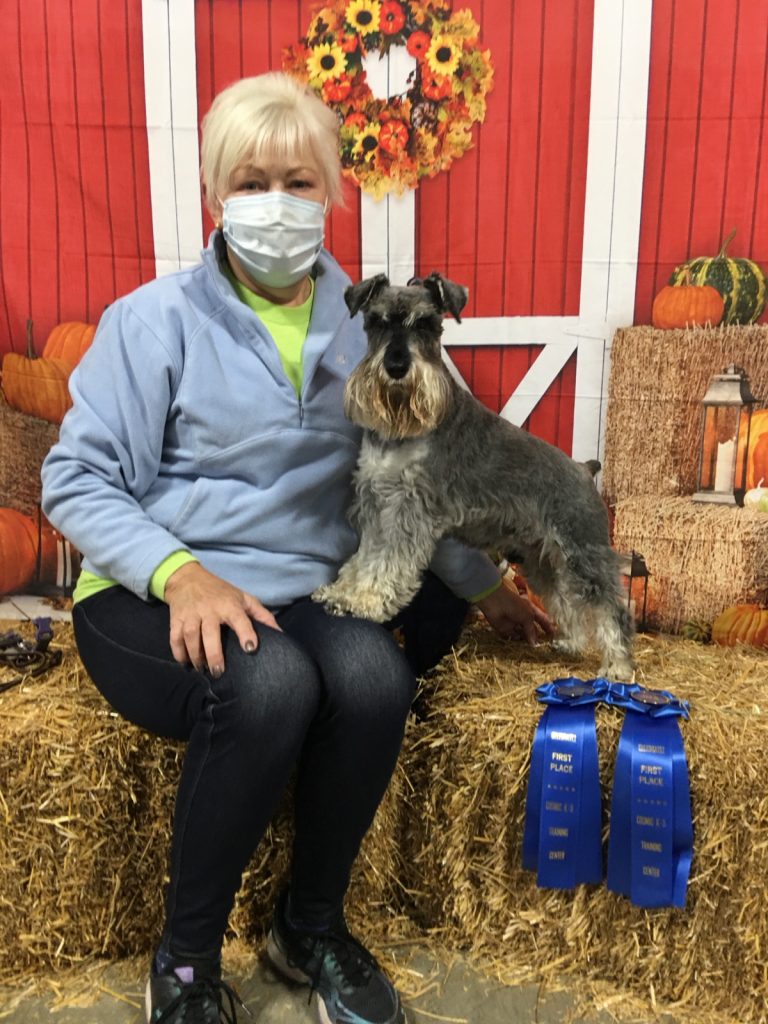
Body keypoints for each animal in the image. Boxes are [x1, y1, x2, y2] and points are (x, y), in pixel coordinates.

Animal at [313, 272, 634, 680]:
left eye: (427, 324)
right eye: (376, 322)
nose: (397, 367)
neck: (403, 428)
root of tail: (584, 468)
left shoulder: (407, 510)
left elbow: (387, 563)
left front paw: (364, 602)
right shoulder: (377, 503)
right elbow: (367, 555)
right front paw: (342, 592)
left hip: (583, 553)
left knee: (612, 607)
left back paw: (618, 667)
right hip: (542, 559)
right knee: (565, 599)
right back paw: (571, 643)